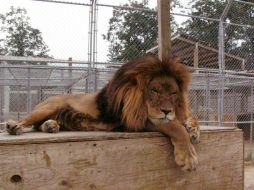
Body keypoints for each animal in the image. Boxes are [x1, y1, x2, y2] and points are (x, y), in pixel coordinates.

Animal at [5, 54, 199, 171]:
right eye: (155, 91)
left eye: (173, 93)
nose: (167, 110)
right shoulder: (131, 120)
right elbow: (174, 127)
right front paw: (188, 156)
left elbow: (189, 116)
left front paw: (193, 129)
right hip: (48, 107)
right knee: (26, 121)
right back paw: (13, 126)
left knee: (39, 126)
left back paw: (50, 126)